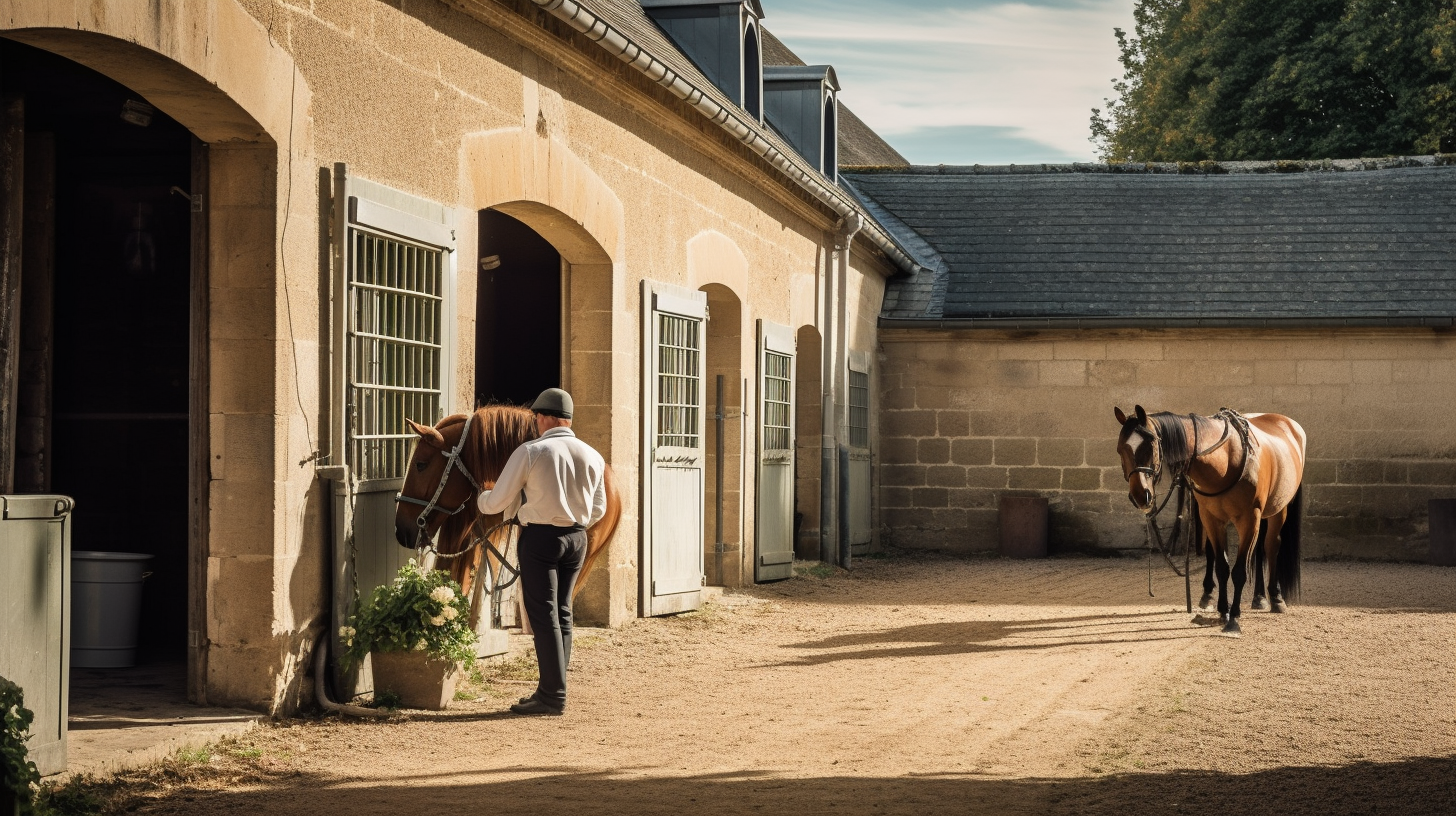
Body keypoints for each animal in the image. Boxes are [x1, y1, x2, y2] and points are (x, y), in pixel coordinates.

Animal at [1112, 405, 1310, 635]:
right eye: (1120, 449)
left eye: (1150, 445)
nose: (1139, 496)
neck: (1226, 461)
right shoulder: (1212, 519)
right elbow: (1222, 567)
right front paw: (1223, 611)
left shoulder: (1249, 519)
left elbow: (1239, 571)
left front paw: (1234, 619)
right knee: (1259, 550)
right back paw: (1259, 597)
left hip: (1278, 510)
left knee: (1271, 546)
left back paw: (1276, 597)